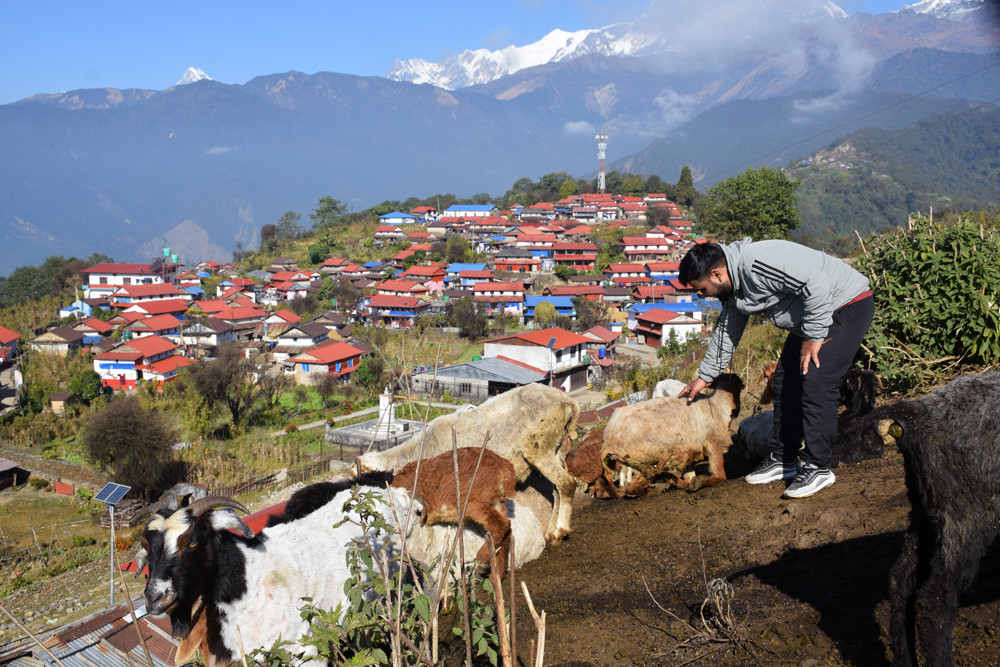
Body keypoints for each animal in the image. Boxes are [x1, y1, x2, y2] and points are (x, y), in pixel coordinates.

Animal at [358, 384, 580, 540]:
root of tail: (567, 401)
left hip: (540, 448)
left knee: (567, 484)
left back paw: (560, 529)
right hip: (556, 448)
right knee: (557, 491)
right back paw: (551, 531)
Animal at [852, 374, 1000, 664]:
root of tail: (917, 411)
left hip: (924, 509)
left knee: (900, 582)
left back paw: (905, 660)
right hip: (969, 516)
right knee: (934, 601)